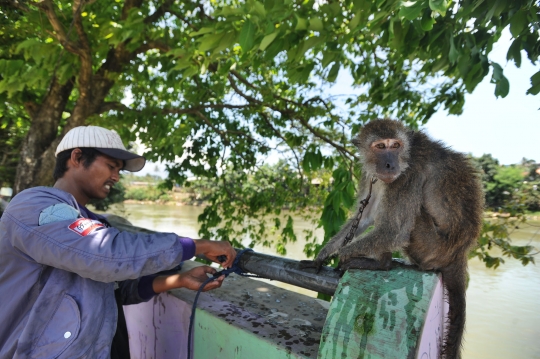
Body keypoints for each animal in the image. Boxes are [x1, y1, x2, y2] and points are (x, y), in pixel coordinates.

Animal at [300, 119, 486, 358]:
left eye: (395, 145)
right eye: (380, 146)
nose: (389, 165)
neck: (408, 153)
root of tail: (459, 252)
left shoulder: (408, 175)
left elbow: (393, 231)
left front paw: (342, 255)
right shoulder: (370, 174)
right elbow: (365, 216)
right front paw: (323, 255)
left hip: (431, 246)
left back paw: (382, 263)